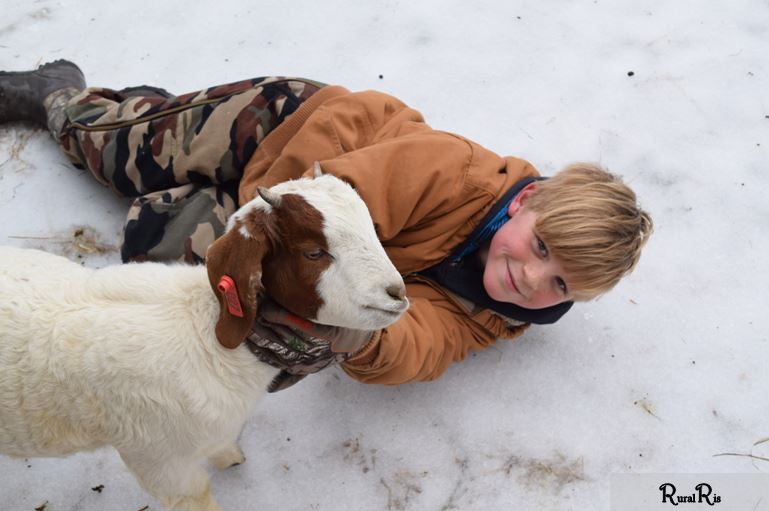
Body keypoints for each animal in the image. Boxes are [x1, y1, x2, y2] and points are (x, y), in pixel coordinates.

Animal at [0, 166, 408, 511]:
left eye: (371, 227)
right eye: (314, 252)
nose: (397, 293)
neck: (207, 335)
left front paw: (230, 456)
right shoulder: (161, 462)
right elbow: (195, 496)